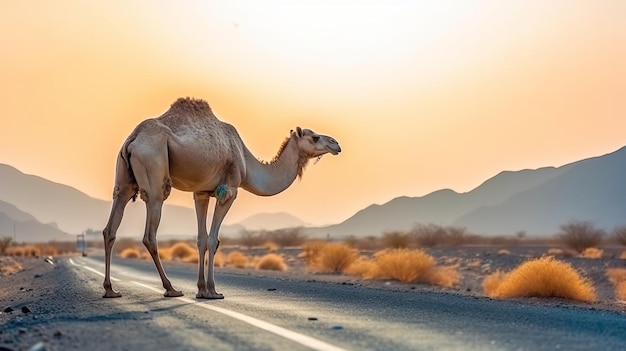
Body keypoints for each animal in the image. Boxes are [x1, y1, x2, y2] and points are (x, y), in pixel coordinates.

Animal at [101, 98, 342, 300]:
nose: (336, 143)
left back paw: (110, 290)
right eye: (315, 137)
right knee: (150, 233)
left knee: (110, 227)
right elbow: (213, 240)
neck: (246, 160)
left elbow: (201, 239)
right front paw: (212, 291)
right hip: (154, 170)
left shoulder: (201, 193)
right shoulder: (229, 189)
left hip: (123, 179)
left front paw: (200, 289)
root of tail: (133, 139)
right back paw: (171, 288)